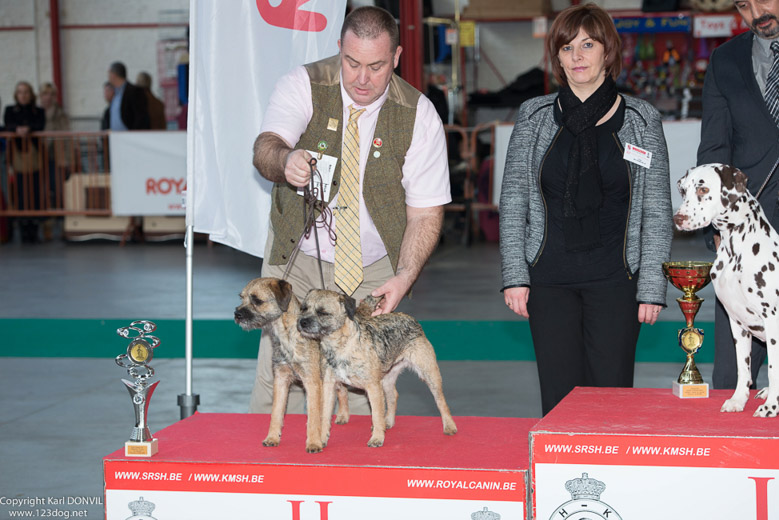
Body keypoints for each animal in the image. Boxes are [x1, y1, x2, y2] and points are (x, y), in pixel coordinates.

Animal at [235, 278, 350, 452]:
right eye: (241, 298)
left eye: (257, 300)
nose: (237, 314)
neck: (286, 335)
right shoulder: (281, 379)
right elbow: (276, 412)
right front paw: (272, 438)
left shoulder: (312, 382)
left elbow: (313, 416)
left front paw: (314, 443)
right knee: (342, 391)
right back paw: (343, 415)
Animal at [298, 288, 458, 446]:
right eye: (303, 308)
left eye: (323, 313)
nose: (302, 321)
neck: (340, 346)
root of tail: (409, 317)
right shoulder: (329, 386)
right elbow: (324, 415)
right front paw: (320, 440)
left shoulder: (372, 387)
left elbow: (375, 414)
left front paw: (377, 438)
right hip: (387, 378)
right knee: (393, 396)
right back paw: (388, 421)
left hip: (429, 374)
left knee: (441, 401)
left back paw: (449, 426)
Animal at [672, 164, 776, 418]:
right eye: (683, 190)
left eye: (703, 189)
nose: (678, 218)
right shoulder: (737, 322)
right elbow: (743, 368)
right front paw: (738, 400)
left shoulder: (772, 320)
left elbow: (773, 369)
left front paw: (771, 408)